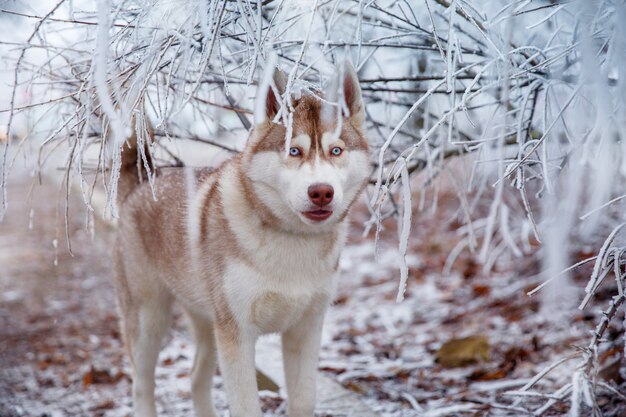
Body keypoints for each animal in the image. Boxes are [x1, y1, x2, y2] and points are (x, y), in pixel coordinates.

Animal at [114, 61, 368, 416]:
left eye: (336, 150)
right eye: (293, 150)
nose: (321, 192)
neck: (292, 239)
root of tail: (140, 187)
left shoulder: (305, 330)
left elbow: (304, 401)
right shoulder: (237, 334)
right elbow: (247, 406)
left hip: (206, 321)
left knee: (196, 377)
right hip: (149, 319)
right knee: (141, 385)